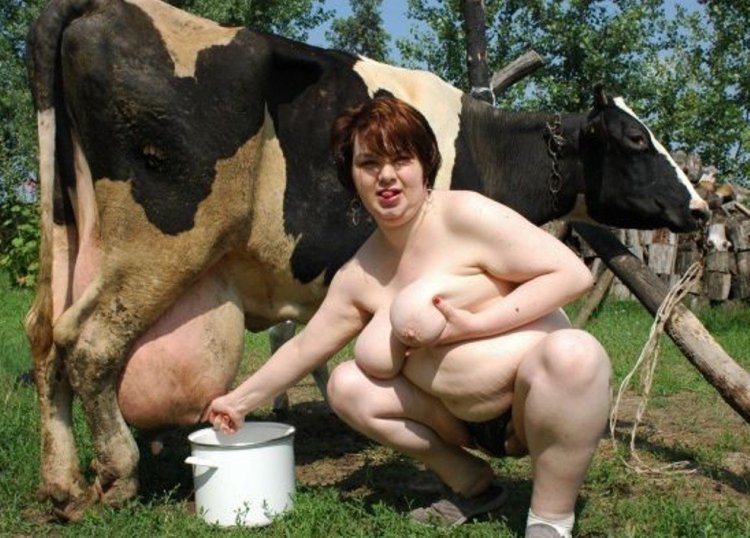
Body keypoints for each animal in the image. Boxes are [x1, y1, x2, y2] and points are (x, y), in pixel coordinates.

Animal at [25, 0, 709, 519]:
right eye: (636, 139)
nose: (701, 209)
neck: (490, 148)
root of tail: (102, 7)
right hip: (161, 241)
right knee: (89, 343)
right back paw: (117, 478)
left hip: (68, 234)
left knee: (45, 339)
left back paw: (62, 484)